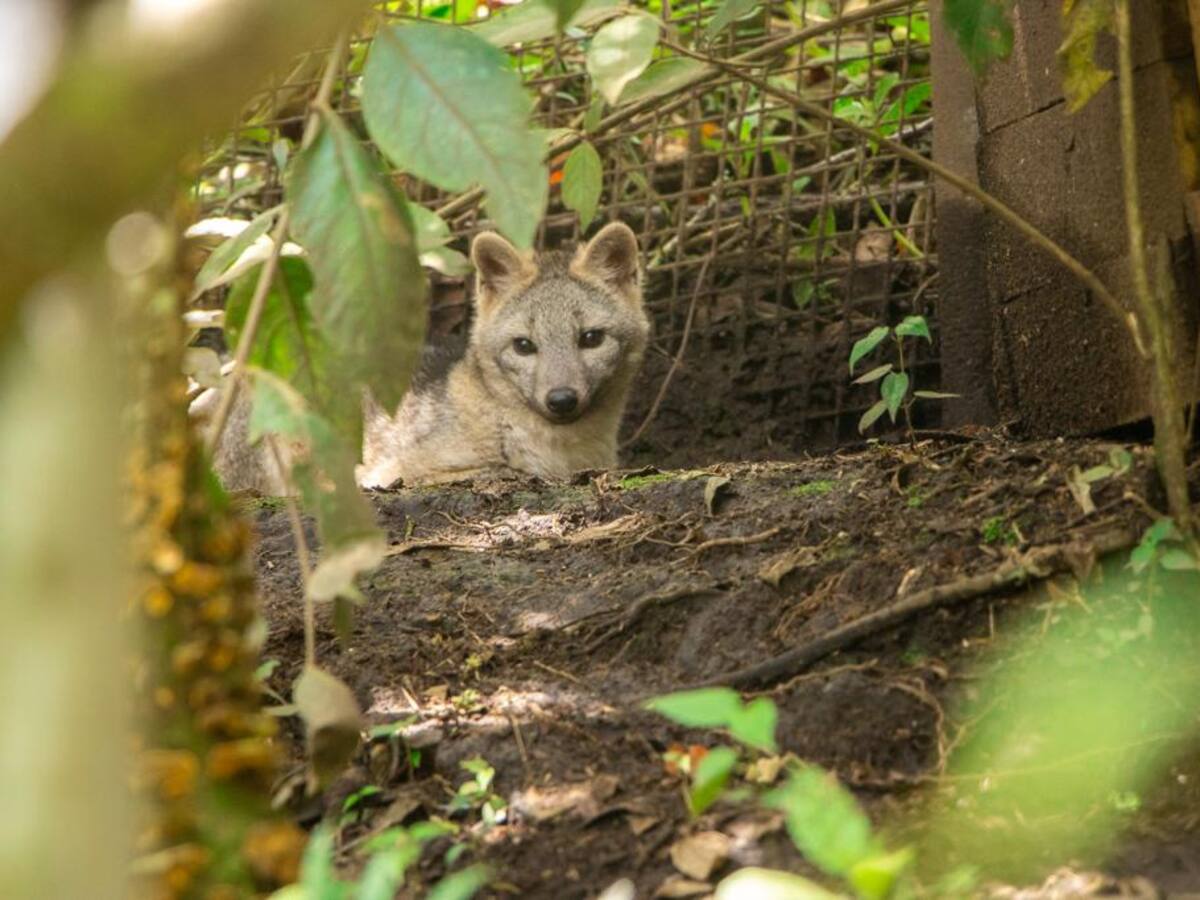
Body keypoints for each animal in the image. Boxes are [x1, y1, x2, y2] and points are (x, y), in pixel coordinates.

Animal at [194, 221, 649, 492]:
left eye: (590, 338)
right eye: (524, 345)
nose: (561, 400)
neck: (563, 451)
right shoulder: (403, 470)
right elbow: (507, 469)